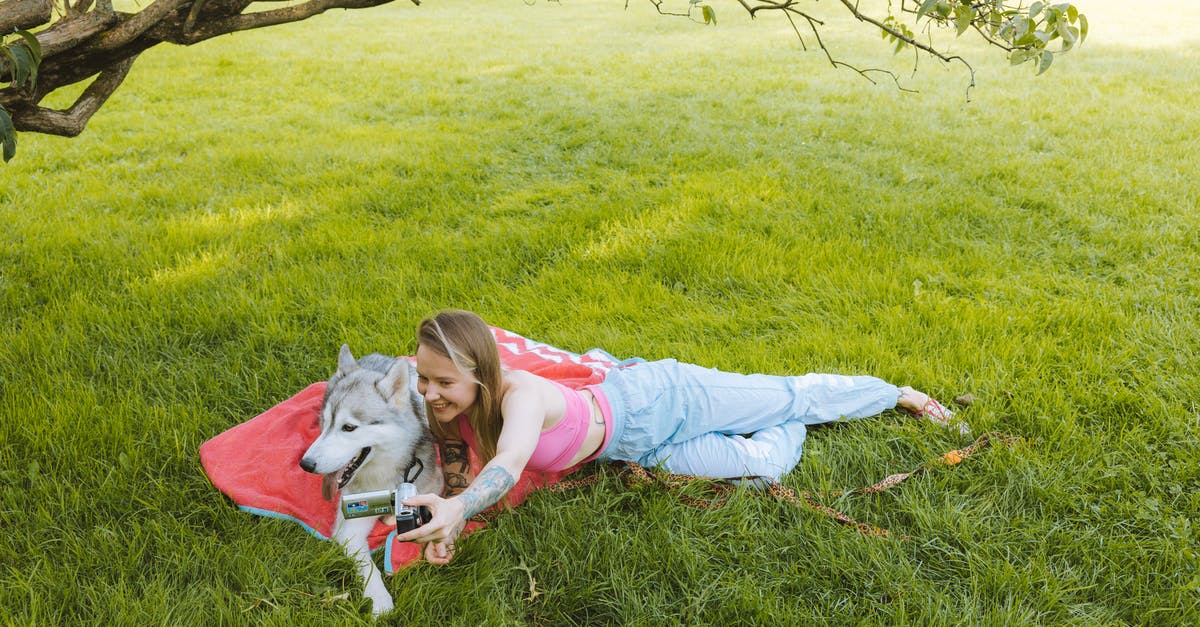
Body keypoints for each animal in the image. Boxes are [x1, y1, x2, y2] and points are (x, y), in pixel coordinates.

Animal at [297, 345, 444, 614]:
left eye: (349, 427)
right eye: (326, 422)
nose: (306, 464)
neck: (383, 471)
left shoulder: (434, 483)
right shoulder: (349, 525)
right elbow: (366, 565)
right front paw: (379, 598)